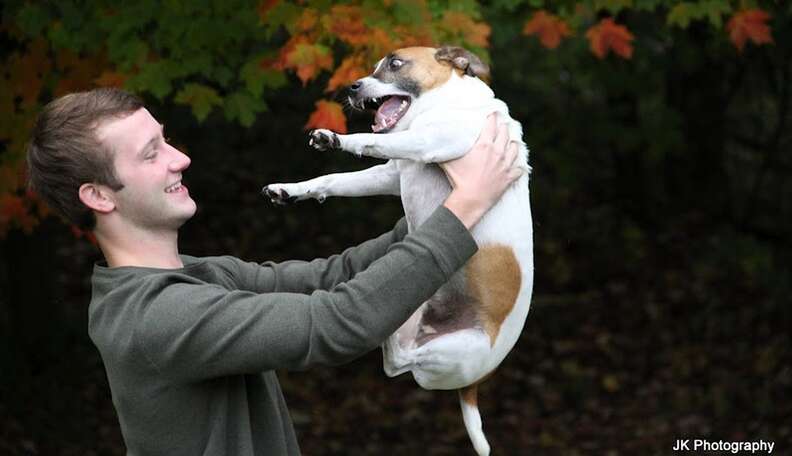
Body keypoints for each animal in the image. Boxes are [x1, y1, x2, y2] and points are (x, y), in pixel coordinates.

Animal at [264, 47, 532, 456]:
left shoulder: (432, 141)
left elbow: (372, 141)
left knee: (398, 361)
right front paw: (292, 189)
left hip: (456, 348)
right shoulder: (392, 174)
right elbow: (334, 180)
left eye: (395, 63)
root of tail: (474, 385)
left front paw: (338, 139)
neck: (448, 102)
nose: (352, 86)